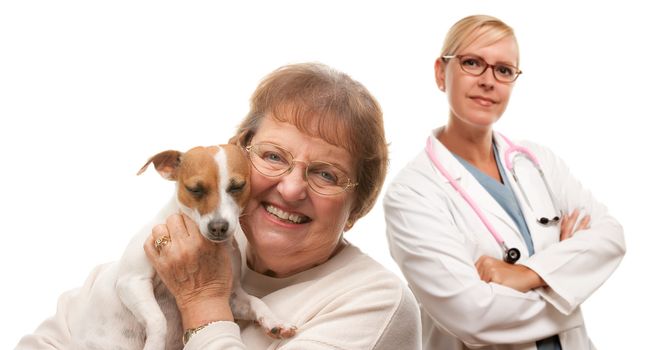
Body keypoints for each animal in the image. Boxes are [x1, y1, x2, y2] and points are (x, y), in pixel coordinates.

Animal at [67, 144, 296, 348]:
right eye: (195, 189)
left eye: (237, 186)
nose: (218, 227)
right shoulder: (132, 282)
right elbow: (158, 320)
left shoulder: (231, 297)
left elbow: (256, 301)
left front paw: (275, 321)